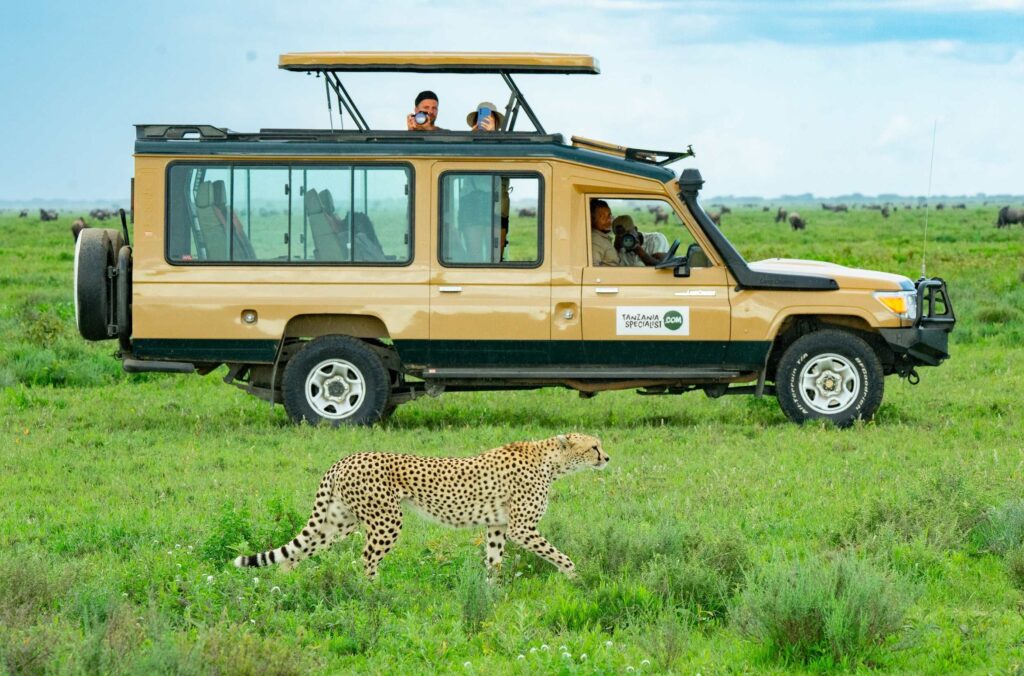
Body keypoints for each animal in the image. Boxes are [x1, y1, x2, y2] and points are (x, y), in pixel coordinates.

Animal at [234, 433, 609, 580]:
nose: (607, 457)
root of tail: (345, 459)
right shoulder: (521, 528)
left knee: (297, 552)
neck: (551, 461)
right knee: (366, 560)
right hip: (386, 520)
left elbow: (493, 561)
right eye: (593, 446)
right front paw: (575, 578)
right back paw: (375, 593)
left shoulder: (497, 526)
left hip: (339, 523)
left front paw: (489, 591)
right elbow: (561, 555)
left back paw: (286, 586)